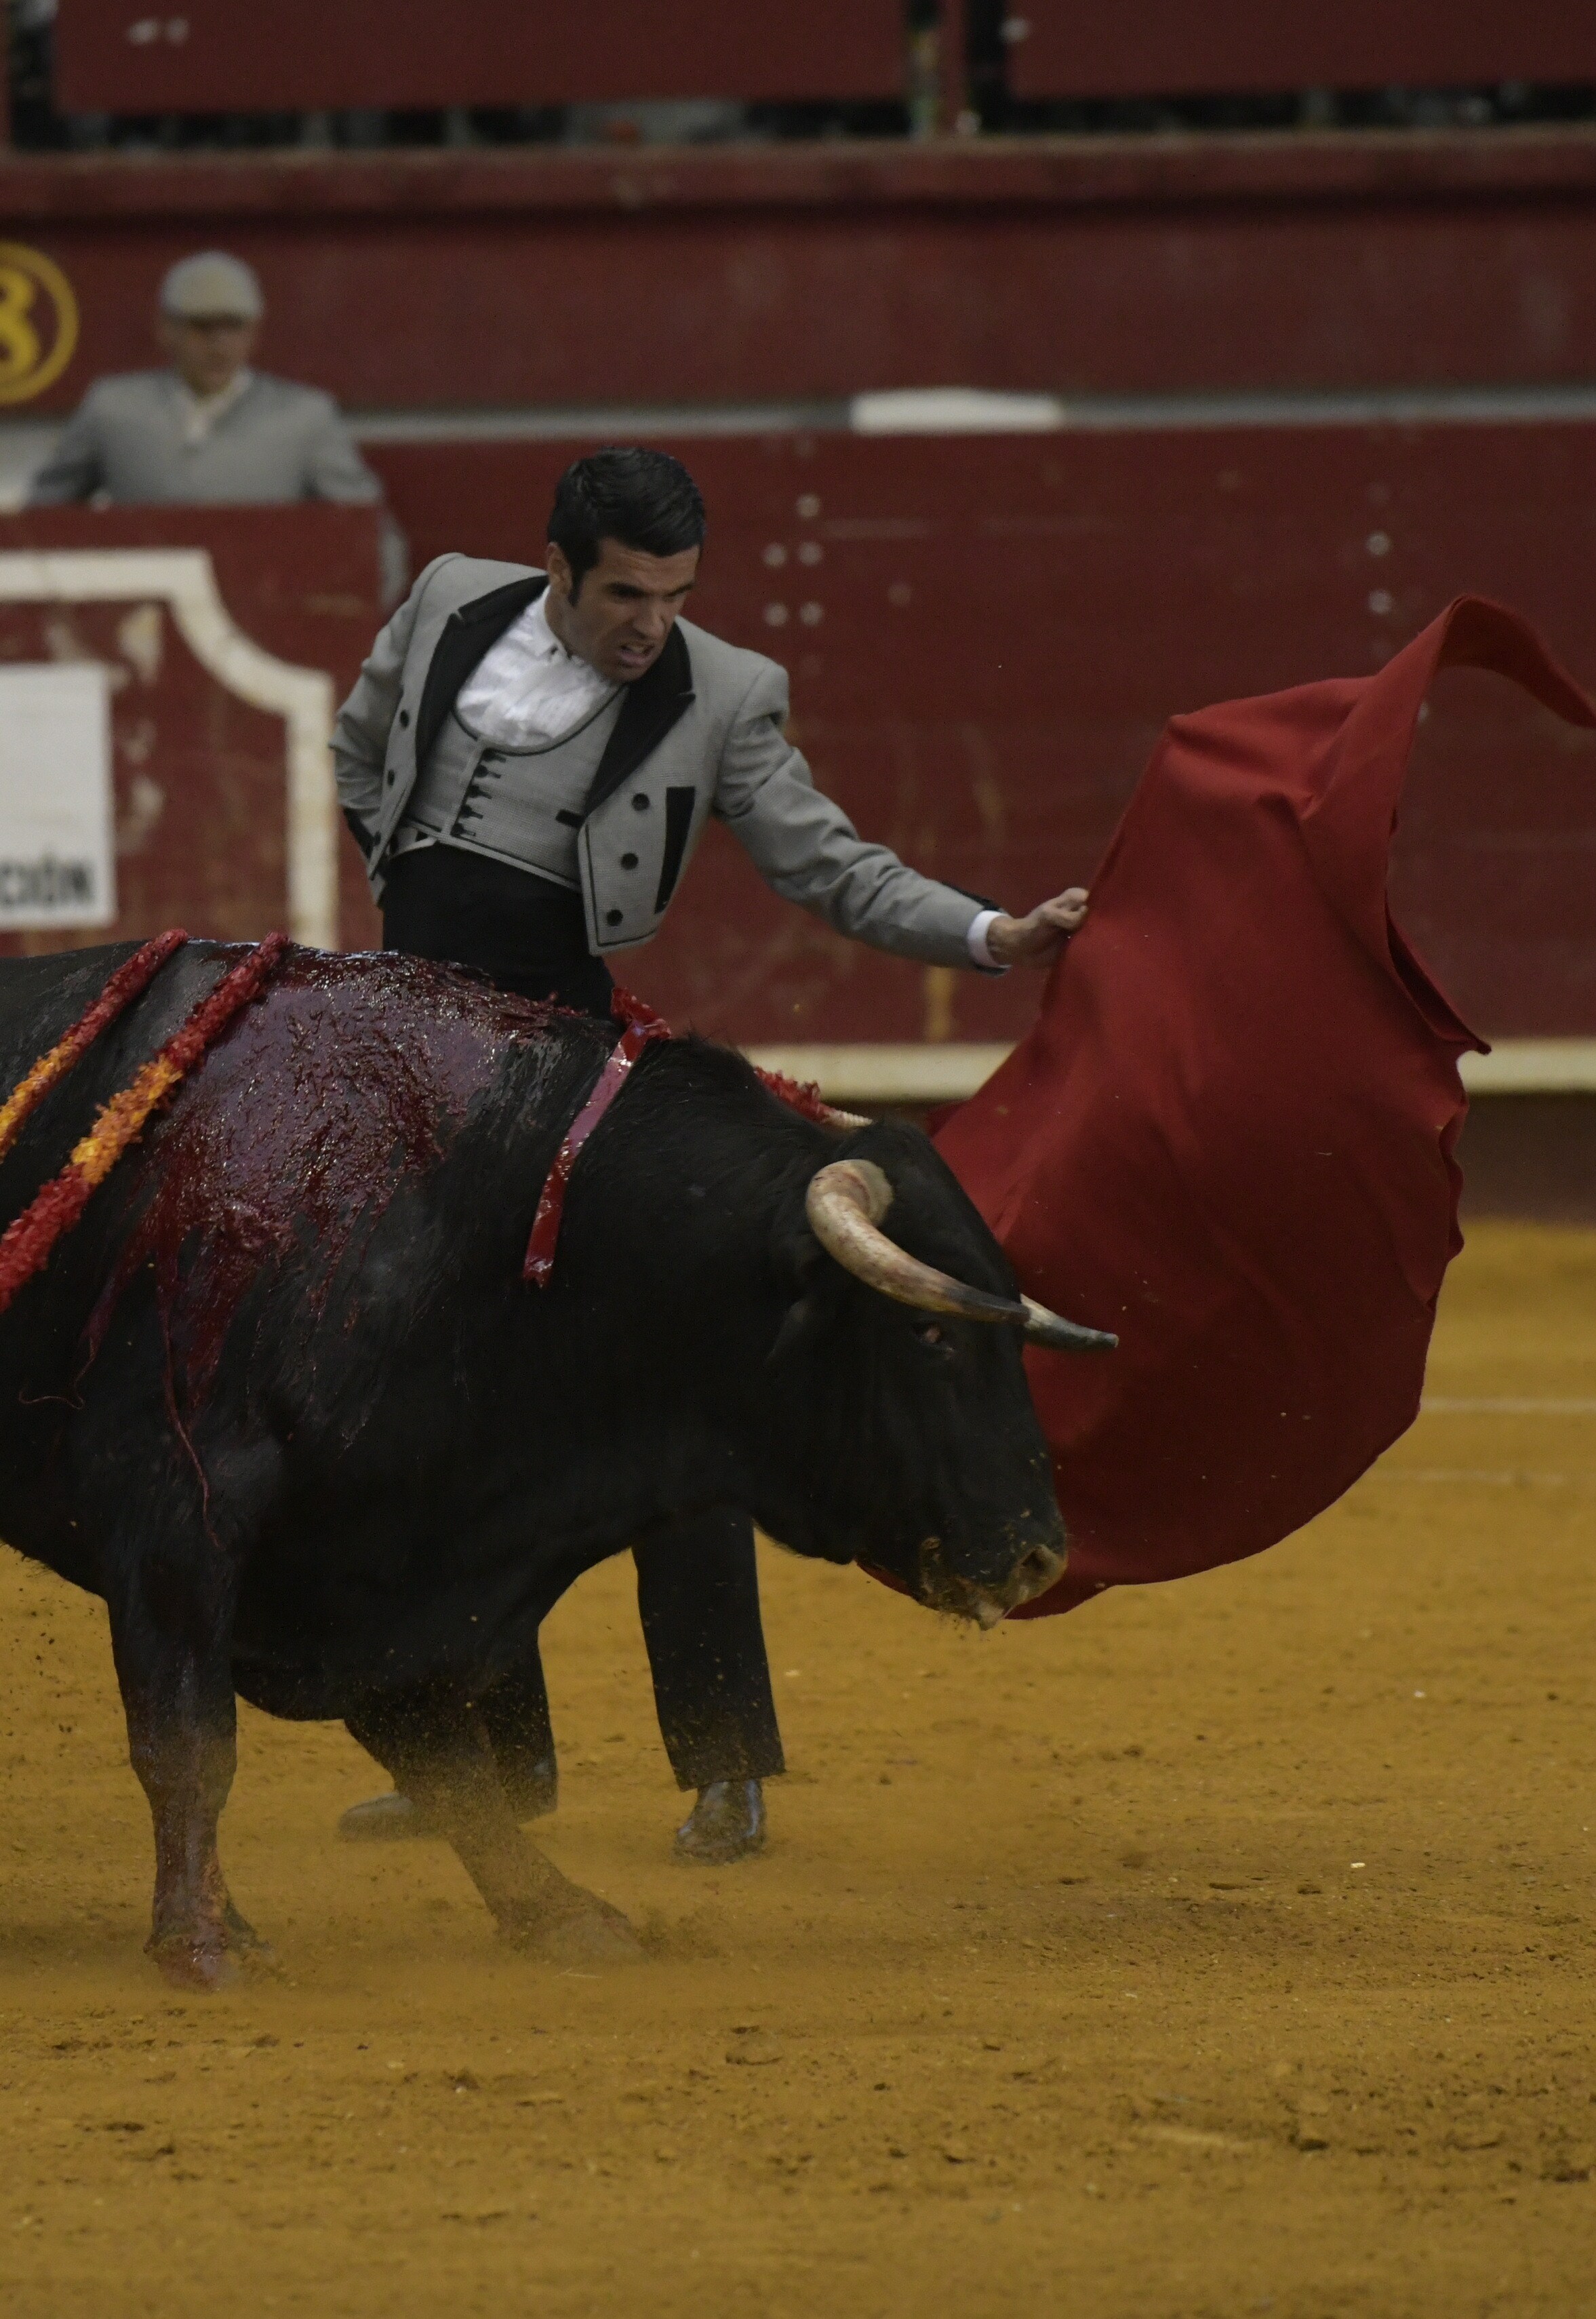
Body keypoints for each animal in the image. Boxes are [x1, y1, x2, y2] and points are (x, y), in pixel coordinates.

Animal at [0, 951, 1085, 1985]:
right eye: (927, 1334)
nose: (1041, 1554)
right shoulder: (176, 1515)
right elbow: (189, 1743)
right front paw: (201, 1944)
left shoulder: (385, 1568)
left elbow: (445, 1761)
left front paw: (557, 1913)